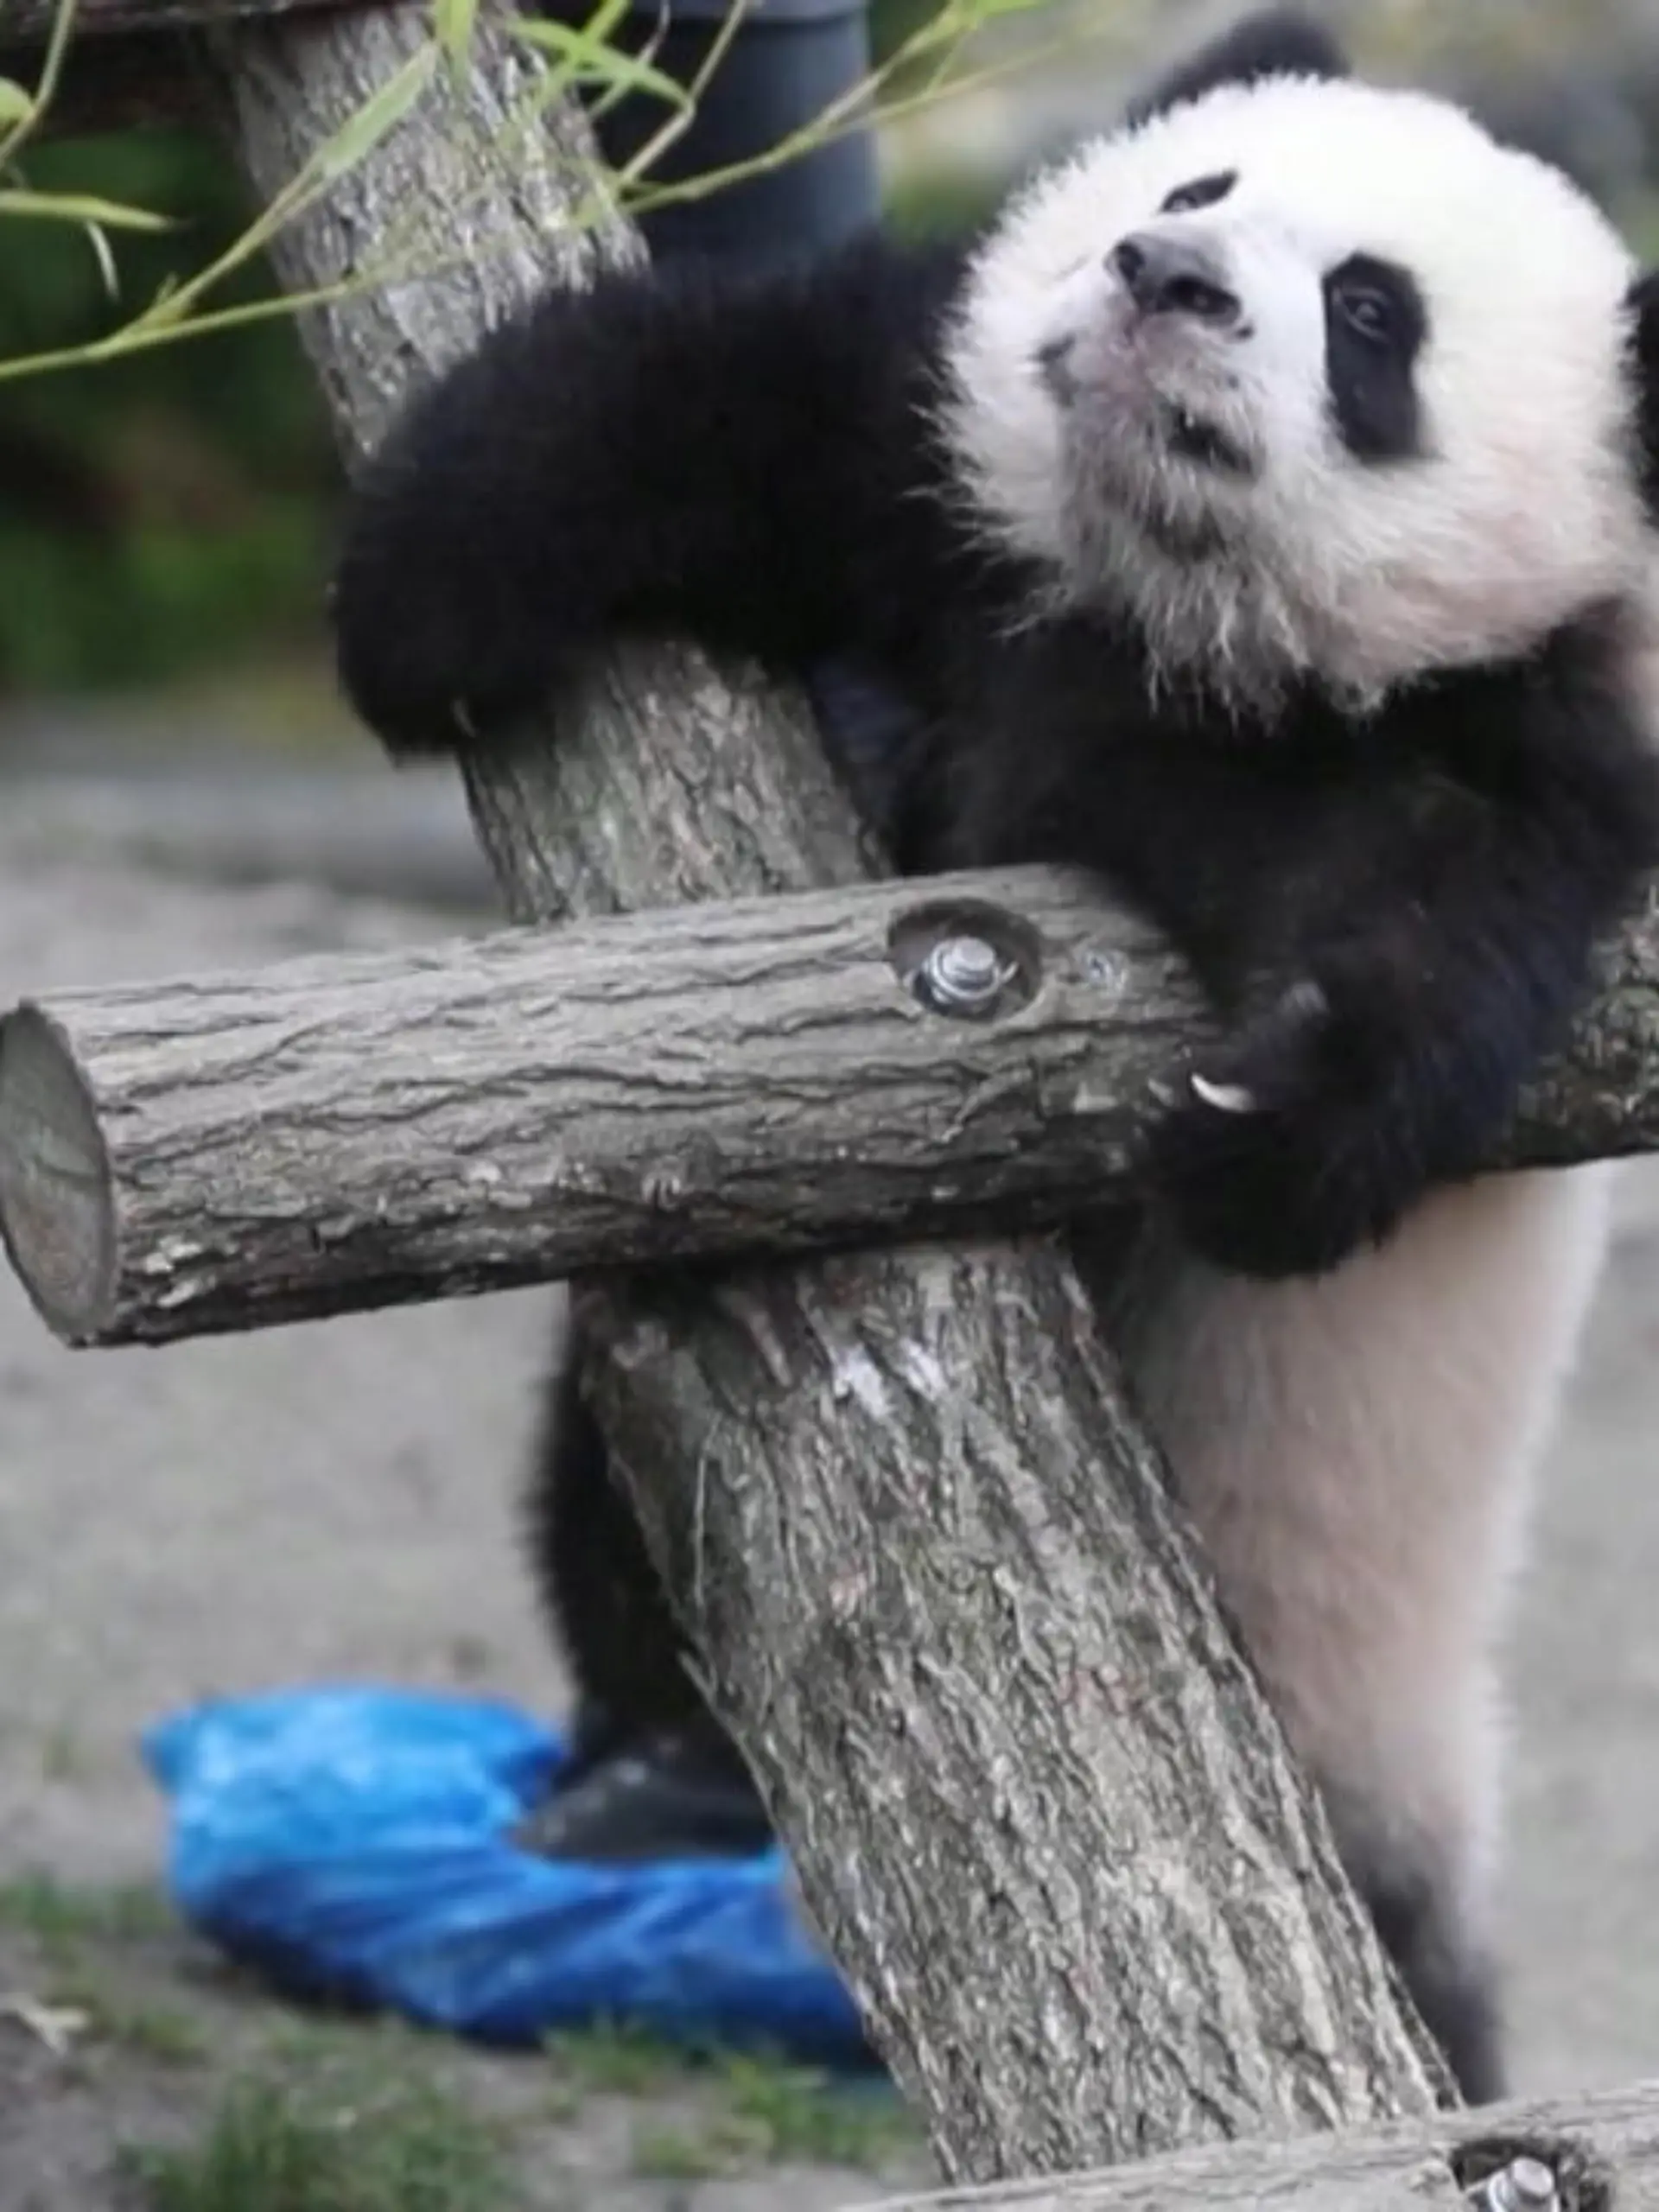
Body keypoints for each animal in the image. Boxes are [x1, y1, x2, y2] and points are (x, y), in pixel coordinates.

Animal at [329, 7, 1659, 2108]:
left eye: (1374, 318)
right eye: (1199, 185)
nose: (1166, 278)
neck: (1185, 619)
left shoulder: (1519, 741)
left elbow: (1438, 948)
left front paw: (1276, 1100)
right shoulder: (954, 520)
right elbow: (751, 405)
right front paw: (431, 586)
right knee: (619, 1509)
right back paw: (648, 1760)